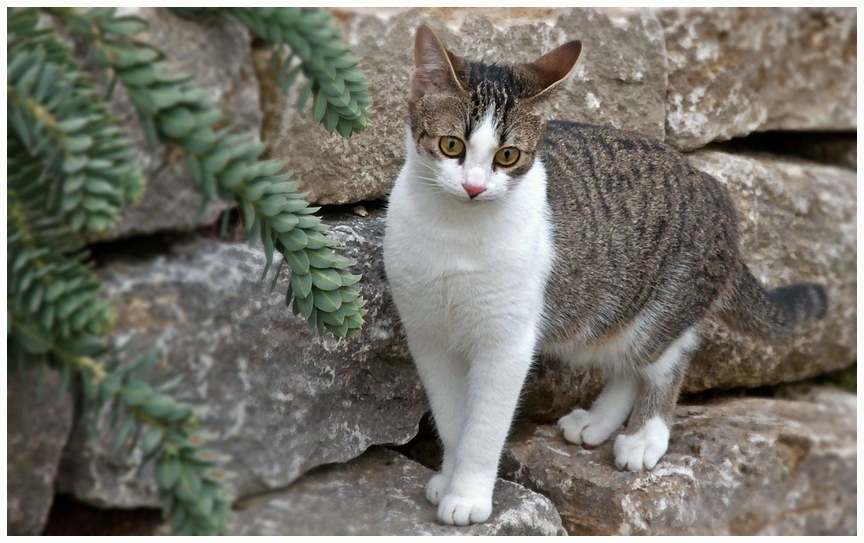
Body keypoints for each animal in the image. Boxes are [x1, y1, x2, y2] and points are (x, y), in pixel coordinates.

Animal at [384, 22, 824, 528]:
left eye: (508, 156)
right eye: (451, 145)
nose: (474, 187)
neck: (455, 232)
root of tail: (714, 189)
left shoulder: (506, 341)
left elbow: (485, 425)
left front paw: (470, 494)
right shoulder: (428, 335)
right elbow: (453, 418)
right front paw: (449, 476)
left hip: (663, 303)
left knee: (666, 359)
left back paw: (645, 435)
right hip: (603, 309)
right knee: (626, 363)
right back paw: (597, 421)